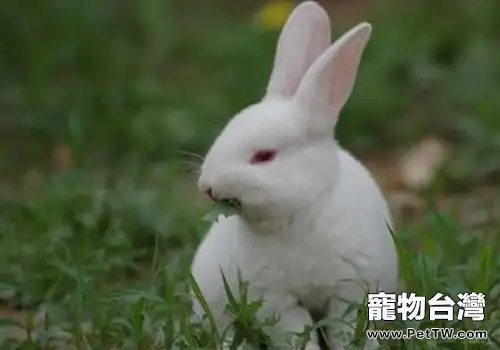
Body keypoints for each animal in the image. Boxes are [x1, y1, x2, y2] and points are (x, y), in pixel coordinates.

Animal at [190, 1, 398, 348]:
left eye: (263, 156)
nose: (206, 186)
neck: (300, 216)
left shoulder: (351, 288)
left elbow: (344, 332)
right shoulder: (277, 300)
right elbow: (296, 334)